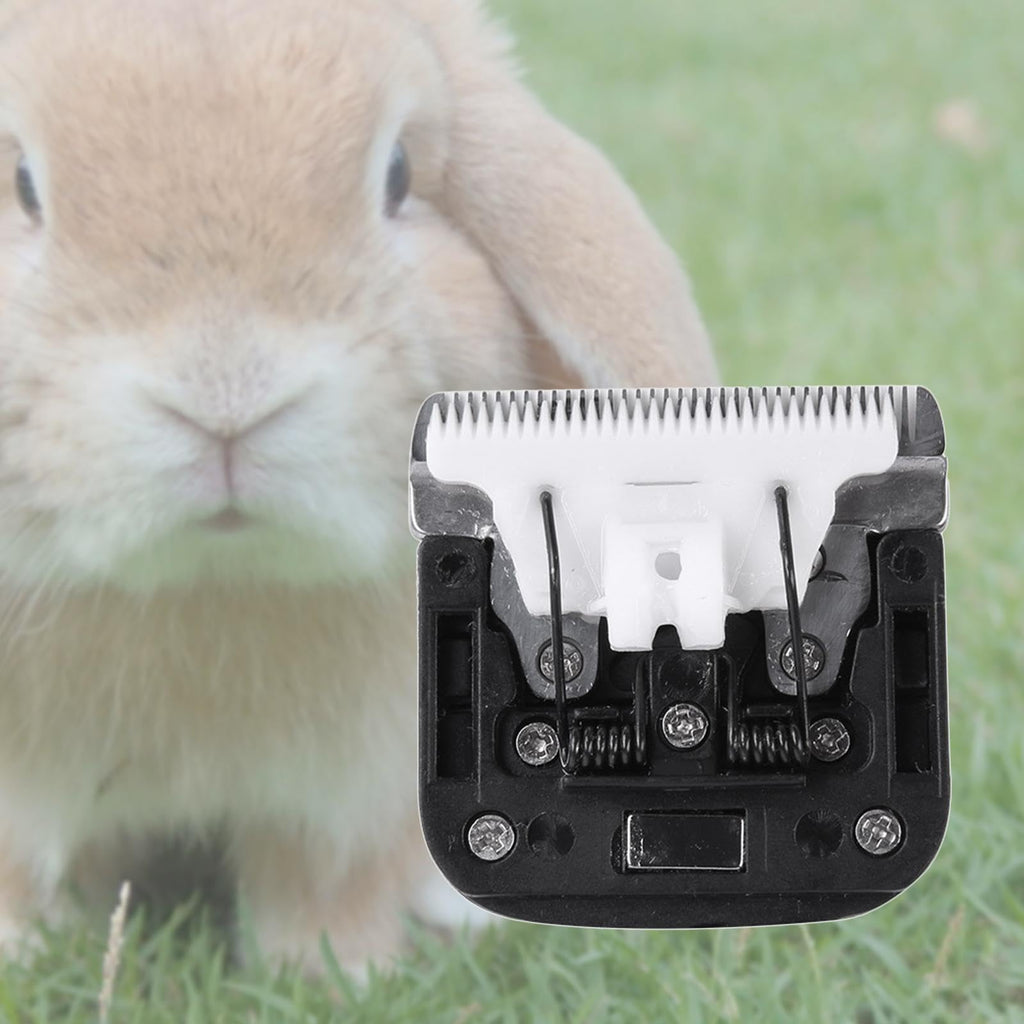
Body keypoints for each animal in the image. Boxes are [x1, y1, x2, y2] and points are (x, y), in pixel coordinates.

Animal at [0, 0, 717, 972]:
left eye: (400, 173)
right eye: (24, 185)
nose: (226, 394)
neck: (212, 582)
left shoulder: (348, 794)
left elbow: (323, 883)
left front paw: (341, 974)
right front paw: (21, 951)